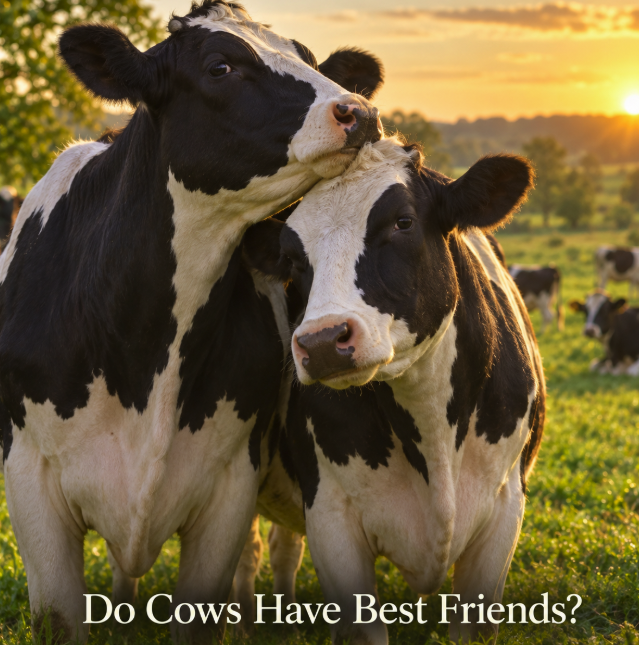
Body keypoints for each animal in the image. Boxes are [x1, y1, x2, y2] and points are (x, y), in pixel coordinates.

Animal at [0, 2, 385, 642]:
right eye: (220, 66)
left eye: (307, 57)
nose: (361, 113)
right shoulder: (31, 481)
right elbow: (61, 617)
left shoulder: (229, 486)